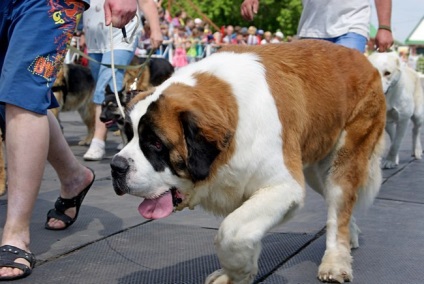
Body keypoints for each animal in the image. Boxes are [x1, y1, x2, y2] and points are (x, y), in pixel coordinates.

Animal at [110, 40, 388, 284]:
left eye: (156, 143)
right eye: (128, 134)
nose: (116, 167)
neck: (234, 112)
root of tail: (366, 61)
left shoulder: (284, 188)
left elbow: (231, 232)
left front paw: (238, 272)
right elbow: (241, 227)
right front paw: (234, 272)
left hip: (346, 152)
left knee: (340, 202)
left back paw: (335, 261)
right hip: (317, 169)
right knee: (339, 202)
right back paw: (350, 238)